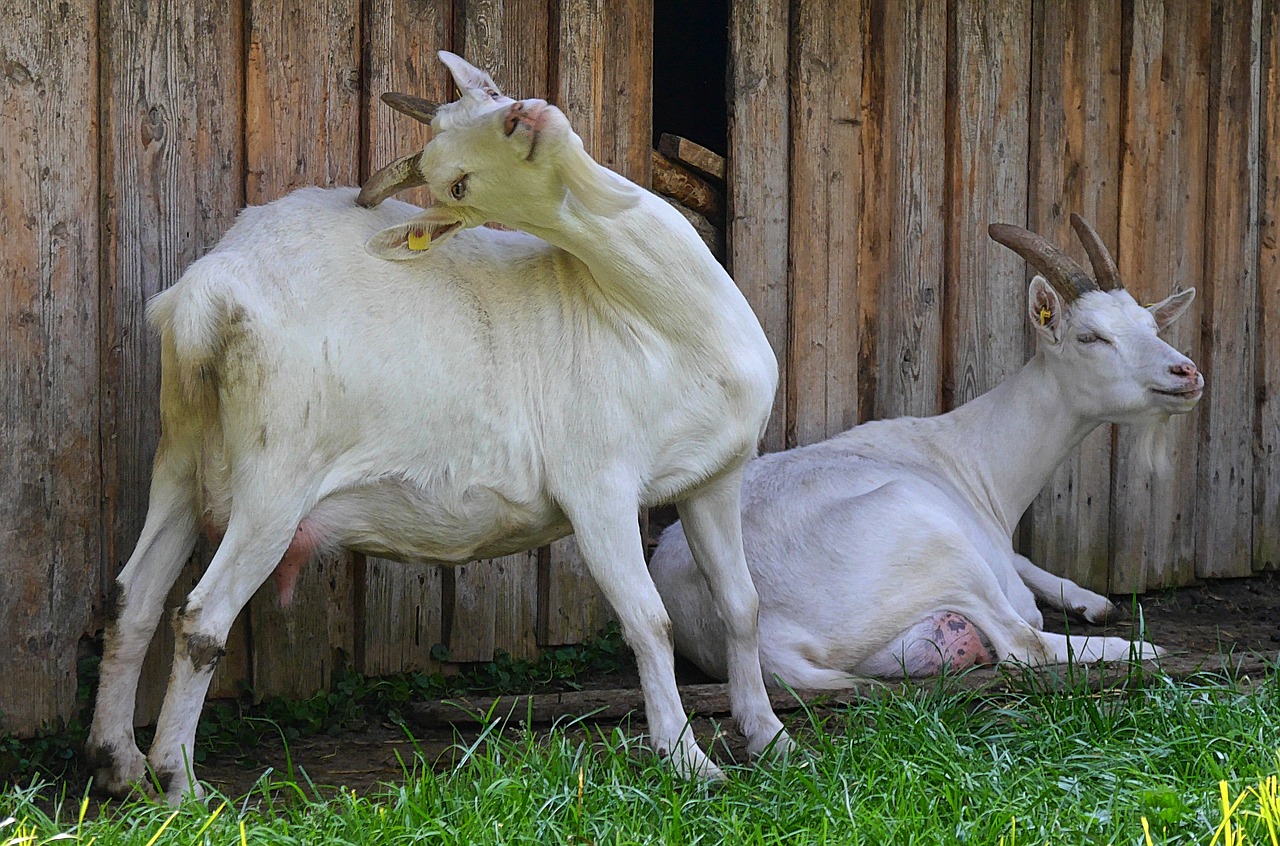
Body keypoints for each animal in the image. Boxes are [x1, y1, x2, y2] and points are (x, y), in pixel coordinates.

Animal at [86, 51, 790, 803]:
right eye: (457, 183)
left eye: (493, 95)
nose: (523, 119)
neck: (650, 315)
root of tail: (207, 295)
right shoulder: (597, 485)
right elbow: (649, 622)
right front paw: (688, 759)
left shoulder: (715, 476)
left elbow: (742, 605)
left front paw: (771, 737)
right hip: (275, 473)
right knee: (200, 618)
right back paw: (180, 783)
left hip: (182, 451)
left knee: (133, 598)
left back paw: (117, 762)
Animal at [650, 217, 1202, 689]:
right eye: (1091, 337)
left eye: (1152, 328)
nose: (1187, 373)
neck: (970, 460)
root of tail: (772, 645)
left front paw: (1091, 600)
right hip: (931, 534)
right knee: (1025, 643)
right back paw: (1143, 651)